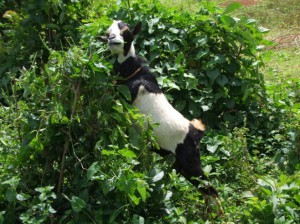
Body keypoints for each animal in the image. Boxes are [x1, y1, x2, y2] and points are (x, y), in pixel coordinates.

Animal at [99, 21, 224, 215]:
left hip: (190, 162)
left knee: (210, 188)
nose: (113, 39)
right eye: (108, 32)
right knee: (204, 189)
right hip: (181, 165)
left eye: (126, 32)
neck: (134, 73)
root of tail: (196, 131)